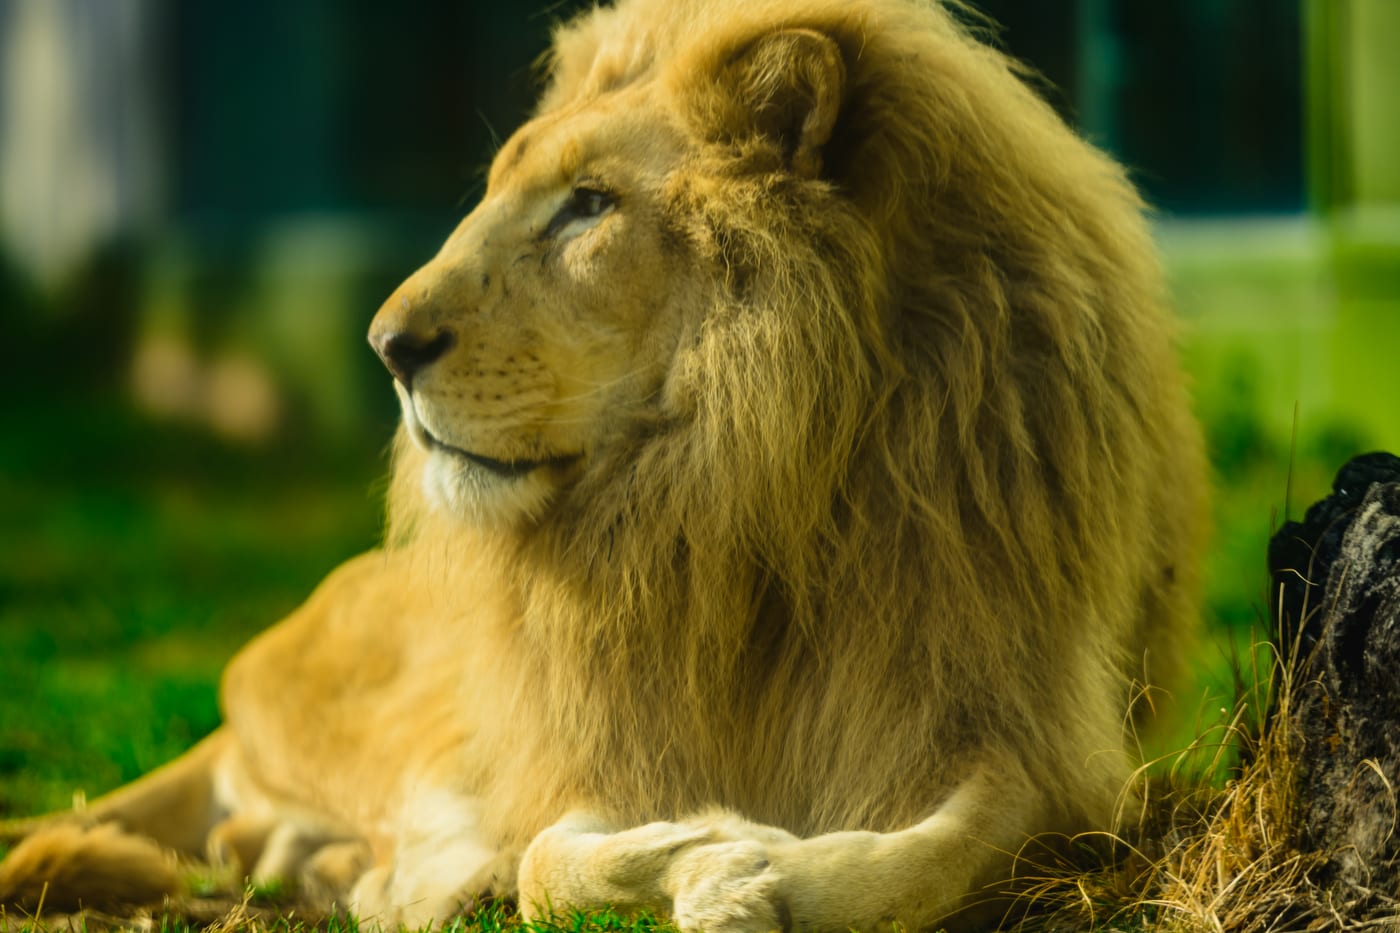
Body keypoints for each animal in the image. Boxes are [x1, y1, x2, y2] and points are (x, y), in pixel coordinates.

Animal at [0, 0, 1207, 929]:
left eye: (589, 205)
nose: (386, 347)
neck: (744, 489)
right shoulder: (588, 744)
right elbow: (549, 858)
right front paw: (709, 857)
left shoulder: (1027, 727)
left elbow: (953, 848)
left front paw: (766, 879)